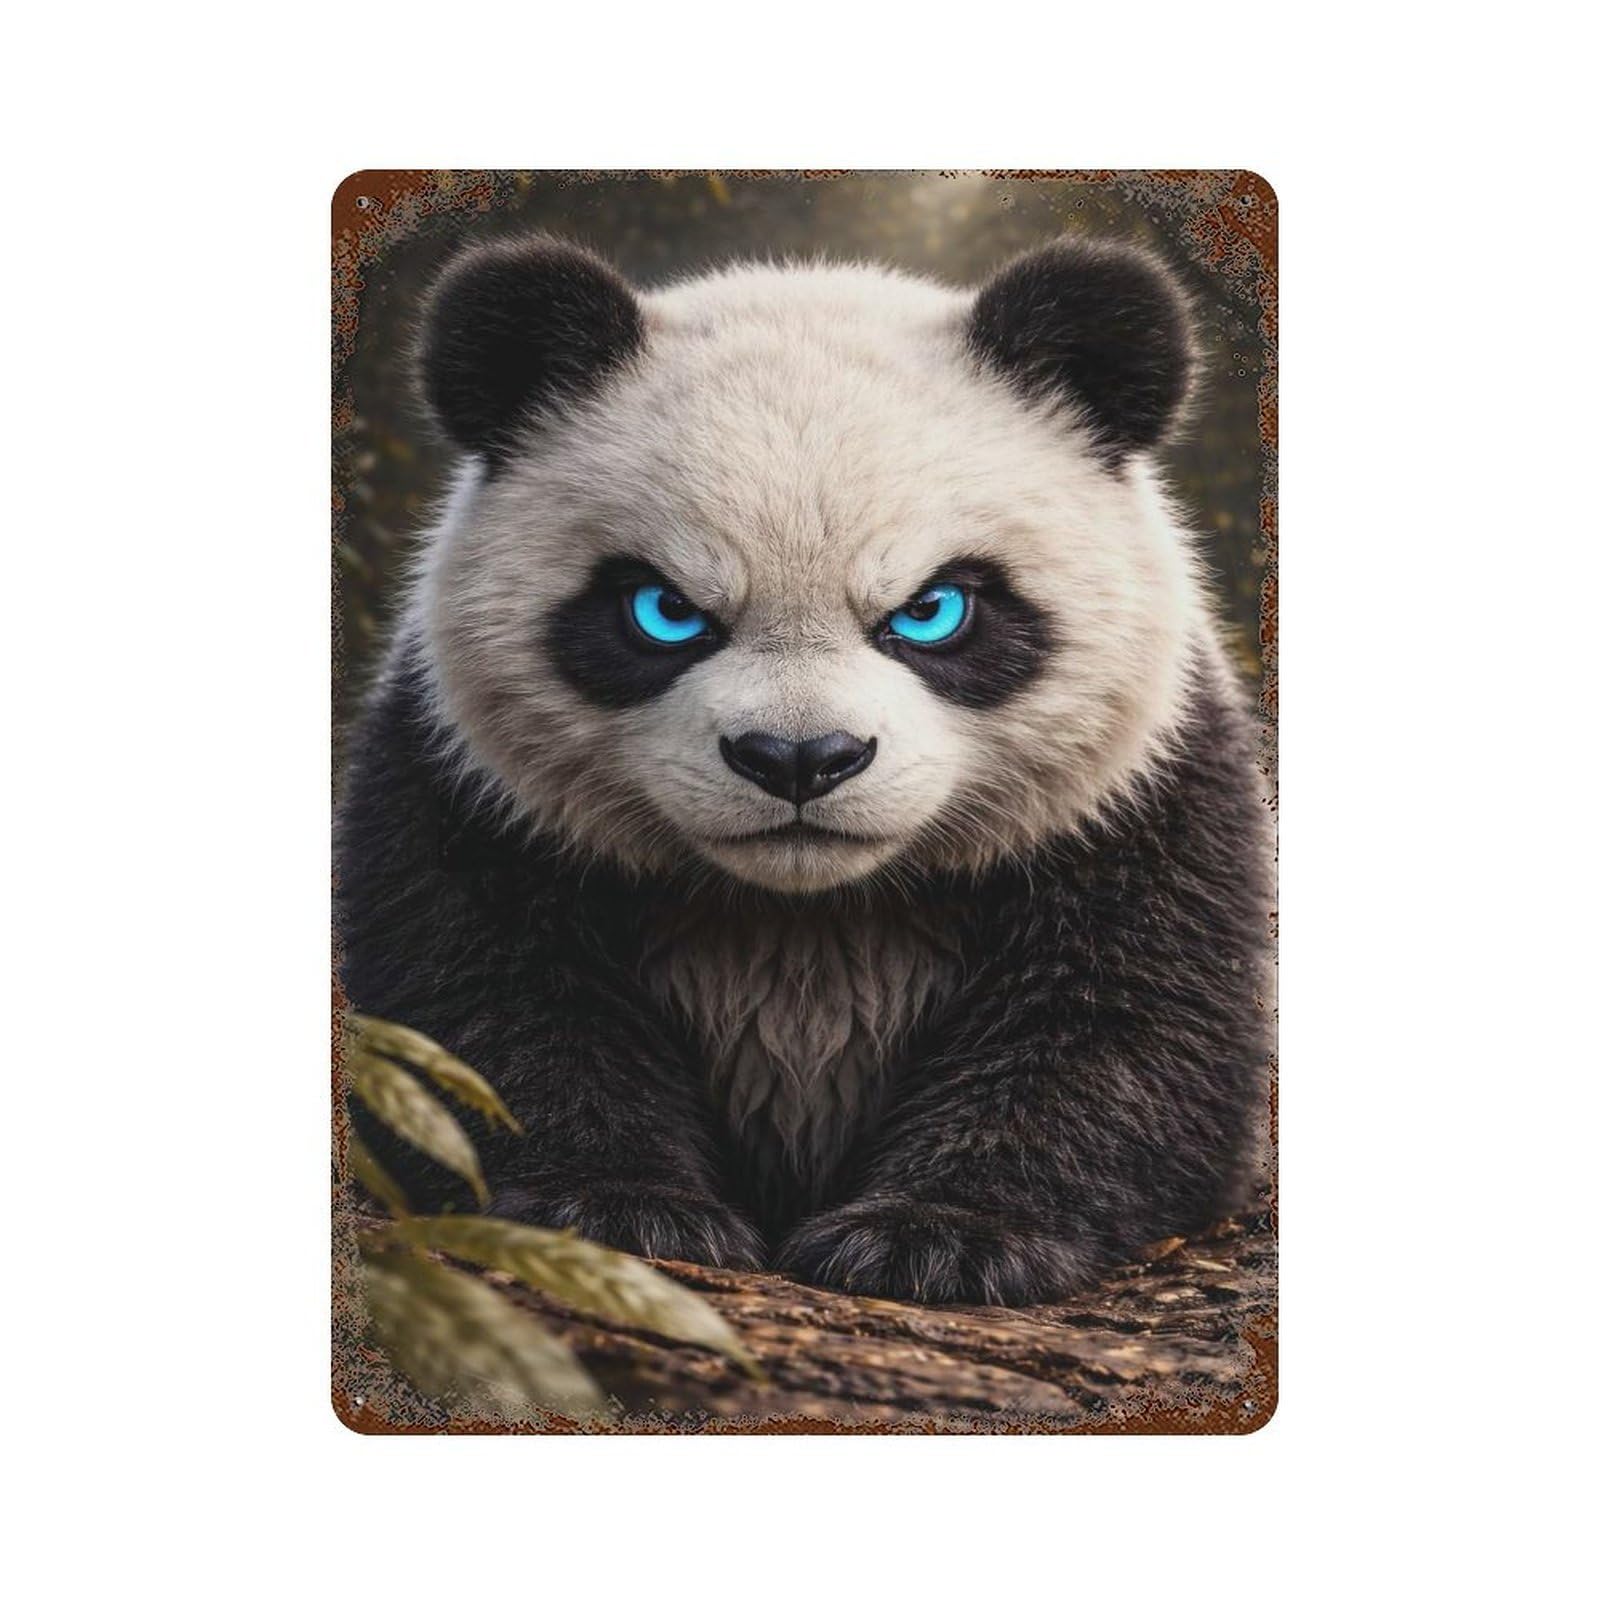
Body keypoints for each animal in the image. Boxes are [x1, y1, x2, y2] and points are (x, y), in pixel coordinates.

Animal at [335, 231, 1272, 1307]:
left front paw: (939, 1237)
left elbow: (1125, 1025)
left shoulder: (1140, 797)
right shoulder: (465, 788)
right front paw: (617, 1206)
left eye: (933, 609)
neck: (805, 908)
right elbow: (486, 1006)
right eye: (662, 609)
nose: (797, 759)